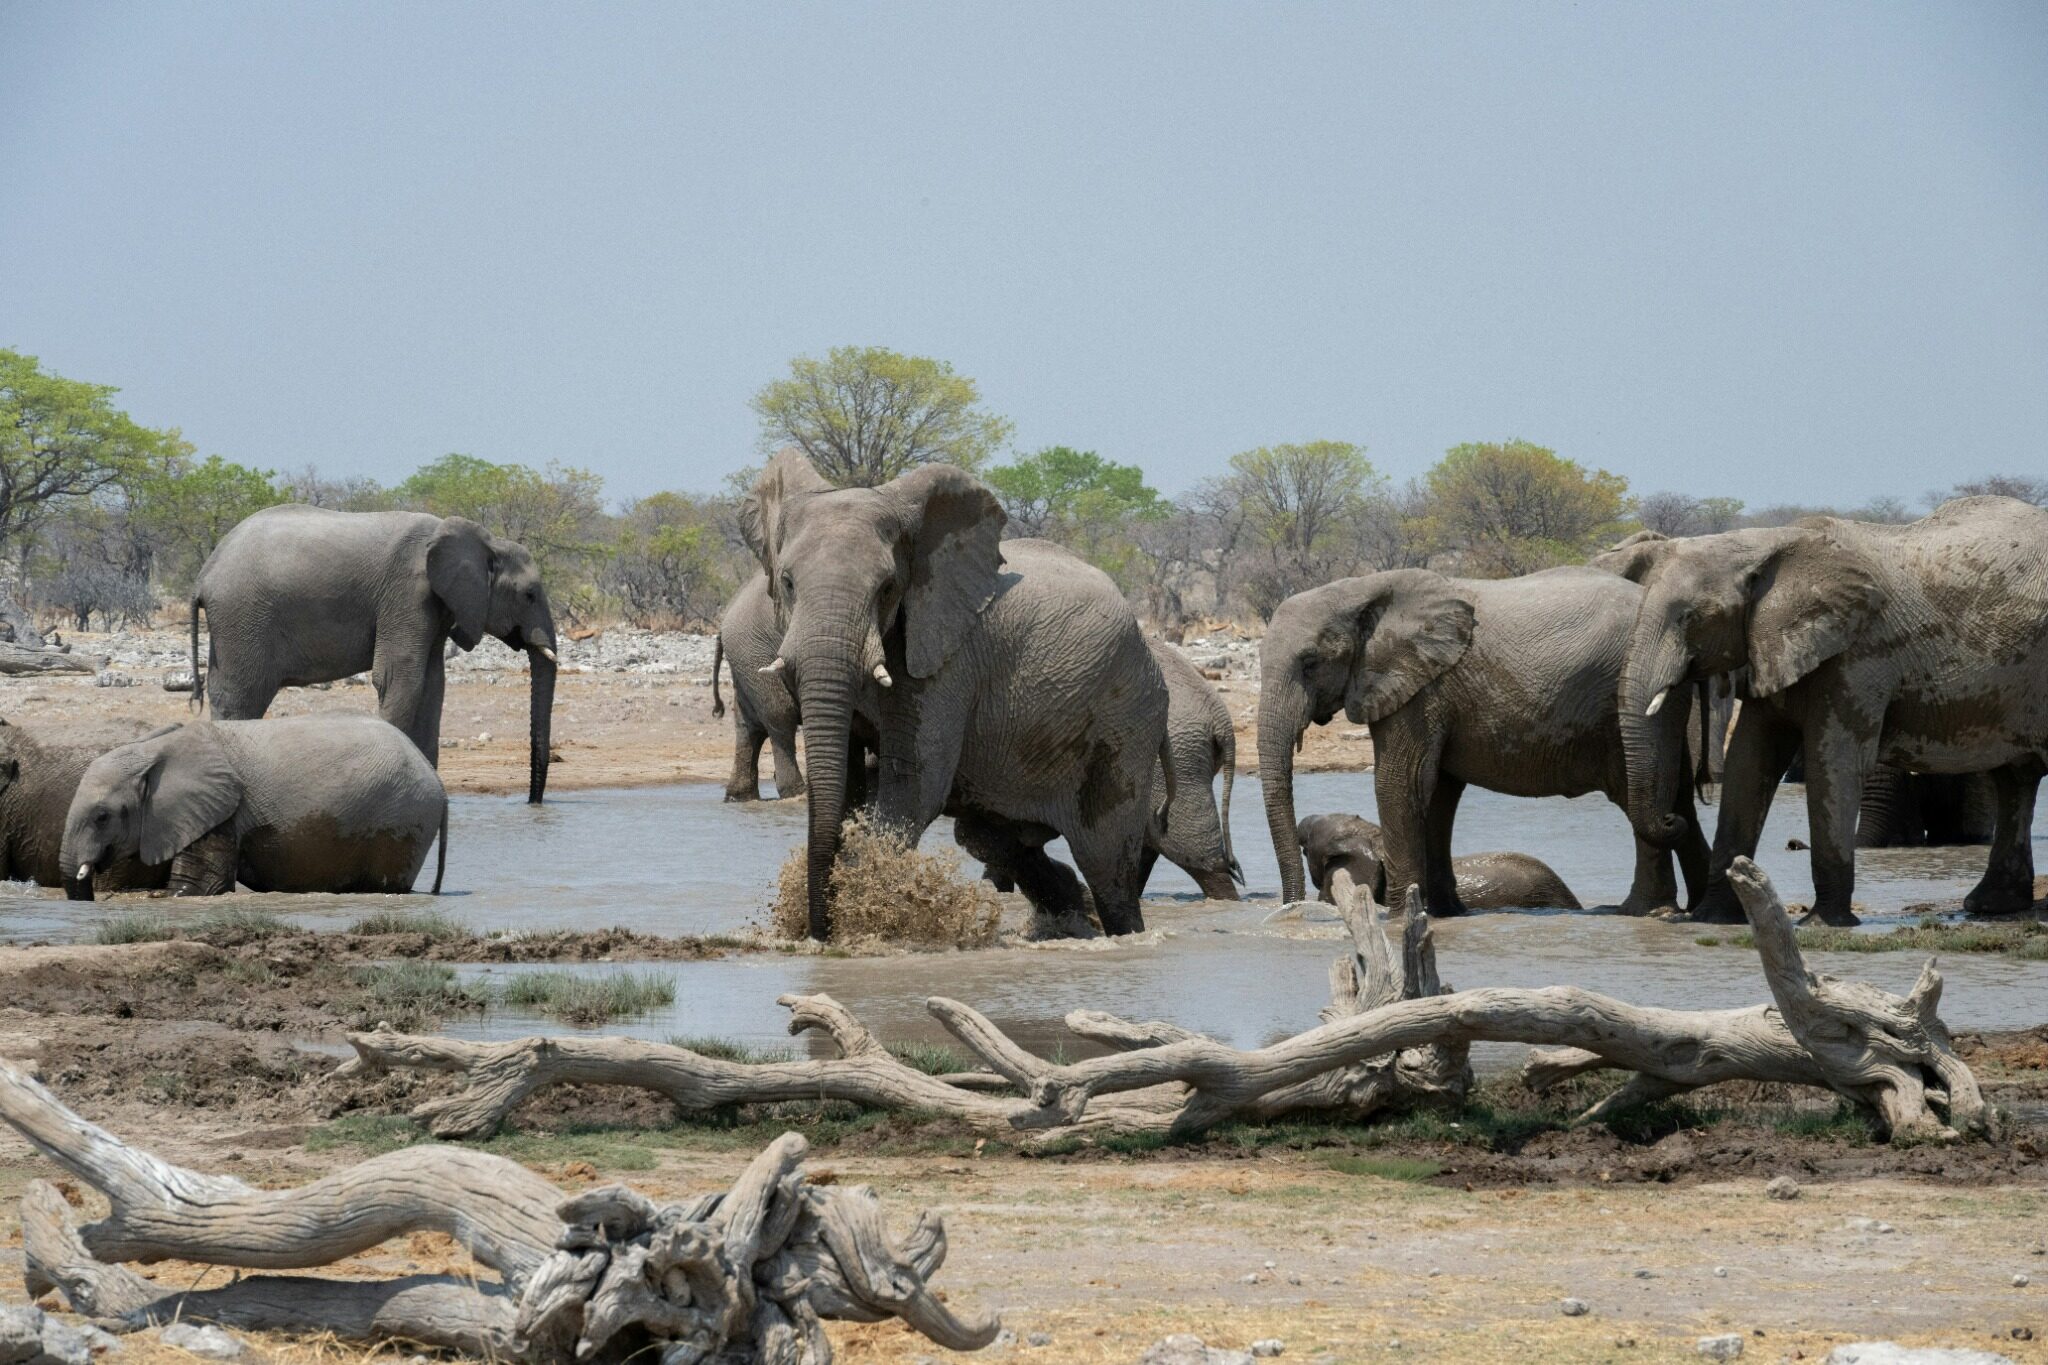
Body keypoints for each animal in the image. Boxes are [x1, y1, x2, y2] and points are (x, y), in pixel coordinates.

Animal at [61, 715, 448, 899]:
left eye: (101, 817)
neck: (154, 748)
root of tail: (438, 781)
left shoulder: (218, 810)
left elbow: (201, 888)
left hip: (403, 819)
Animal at [192, 505, 558, 804]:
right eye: (529, 595)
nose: (533, 802)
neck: (485, 540)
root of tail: (204, 575)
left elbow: (432, 686)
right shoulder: (408, 593)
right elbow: (400, 678)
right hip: (243, 618)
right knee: (241, 697)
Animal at [713, 573, 806, 802]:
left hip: (744, 660)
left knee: (748, 725)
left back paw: (739, 797)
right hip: (751, 652)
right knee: (781, 714)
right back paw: (797, 793)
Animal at [741, 451, 1169, 938]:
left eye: (887, 588)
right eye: (788, 583)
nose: (818, 932)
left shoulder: (947, 659)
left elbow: (913, 784)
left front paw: (861, 908)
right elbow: (848, 778)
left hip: (1128, 716)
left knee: (1106, 861)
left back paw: (1120, 930)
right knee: (996, 841)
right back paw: (1073, 919)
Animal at [1616, 495, 2048, 925]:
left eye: (1692, 617)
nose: (1672, 819)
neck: (1764, 545)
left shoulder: (1858, 656)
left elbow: (1834, 763)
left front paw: (1825, 924)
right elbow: (1749, 761)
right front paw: (1712, 918)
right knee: (2015, 779)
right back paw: (1991, 906)